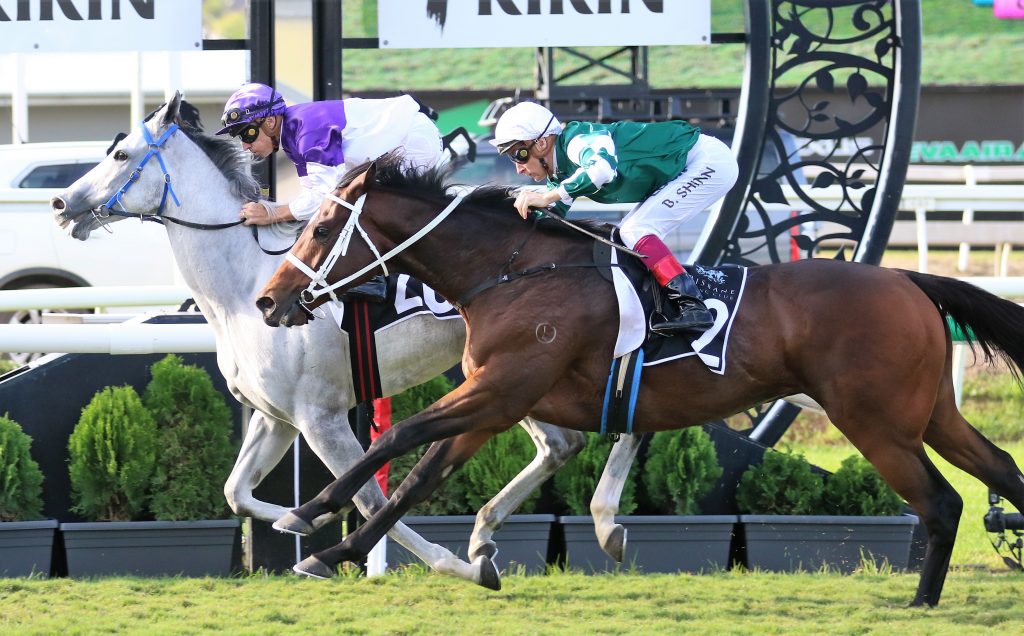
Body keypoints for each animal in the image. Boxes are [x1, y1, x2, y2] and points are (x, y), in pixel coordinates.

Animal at [49, 93, 640, 587]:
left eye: (121, 154)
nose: (60, 204)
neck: (242, 286)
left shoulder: (322, 418)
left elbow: (372, 499)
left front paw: (440, 564)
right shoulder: (277, 417)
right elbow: (237, 494)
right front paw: (303, 523)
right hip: (502, 377)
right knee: (565, 442)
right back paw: (503, 532)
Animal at [254, 159, 1024, 607]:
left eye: (321, 228)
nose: (268, 300)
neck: (511, 271)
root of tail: (909, 280)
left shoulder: (500, 390)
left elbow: (401, 440)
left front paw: (310, 516)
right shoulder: (492, 403)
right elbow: (419, 476)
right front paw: (339, 547)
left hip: (876, 422)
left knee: (942, 503)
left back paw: (921, 603)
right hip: (930, 415)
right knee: (1002, 472)